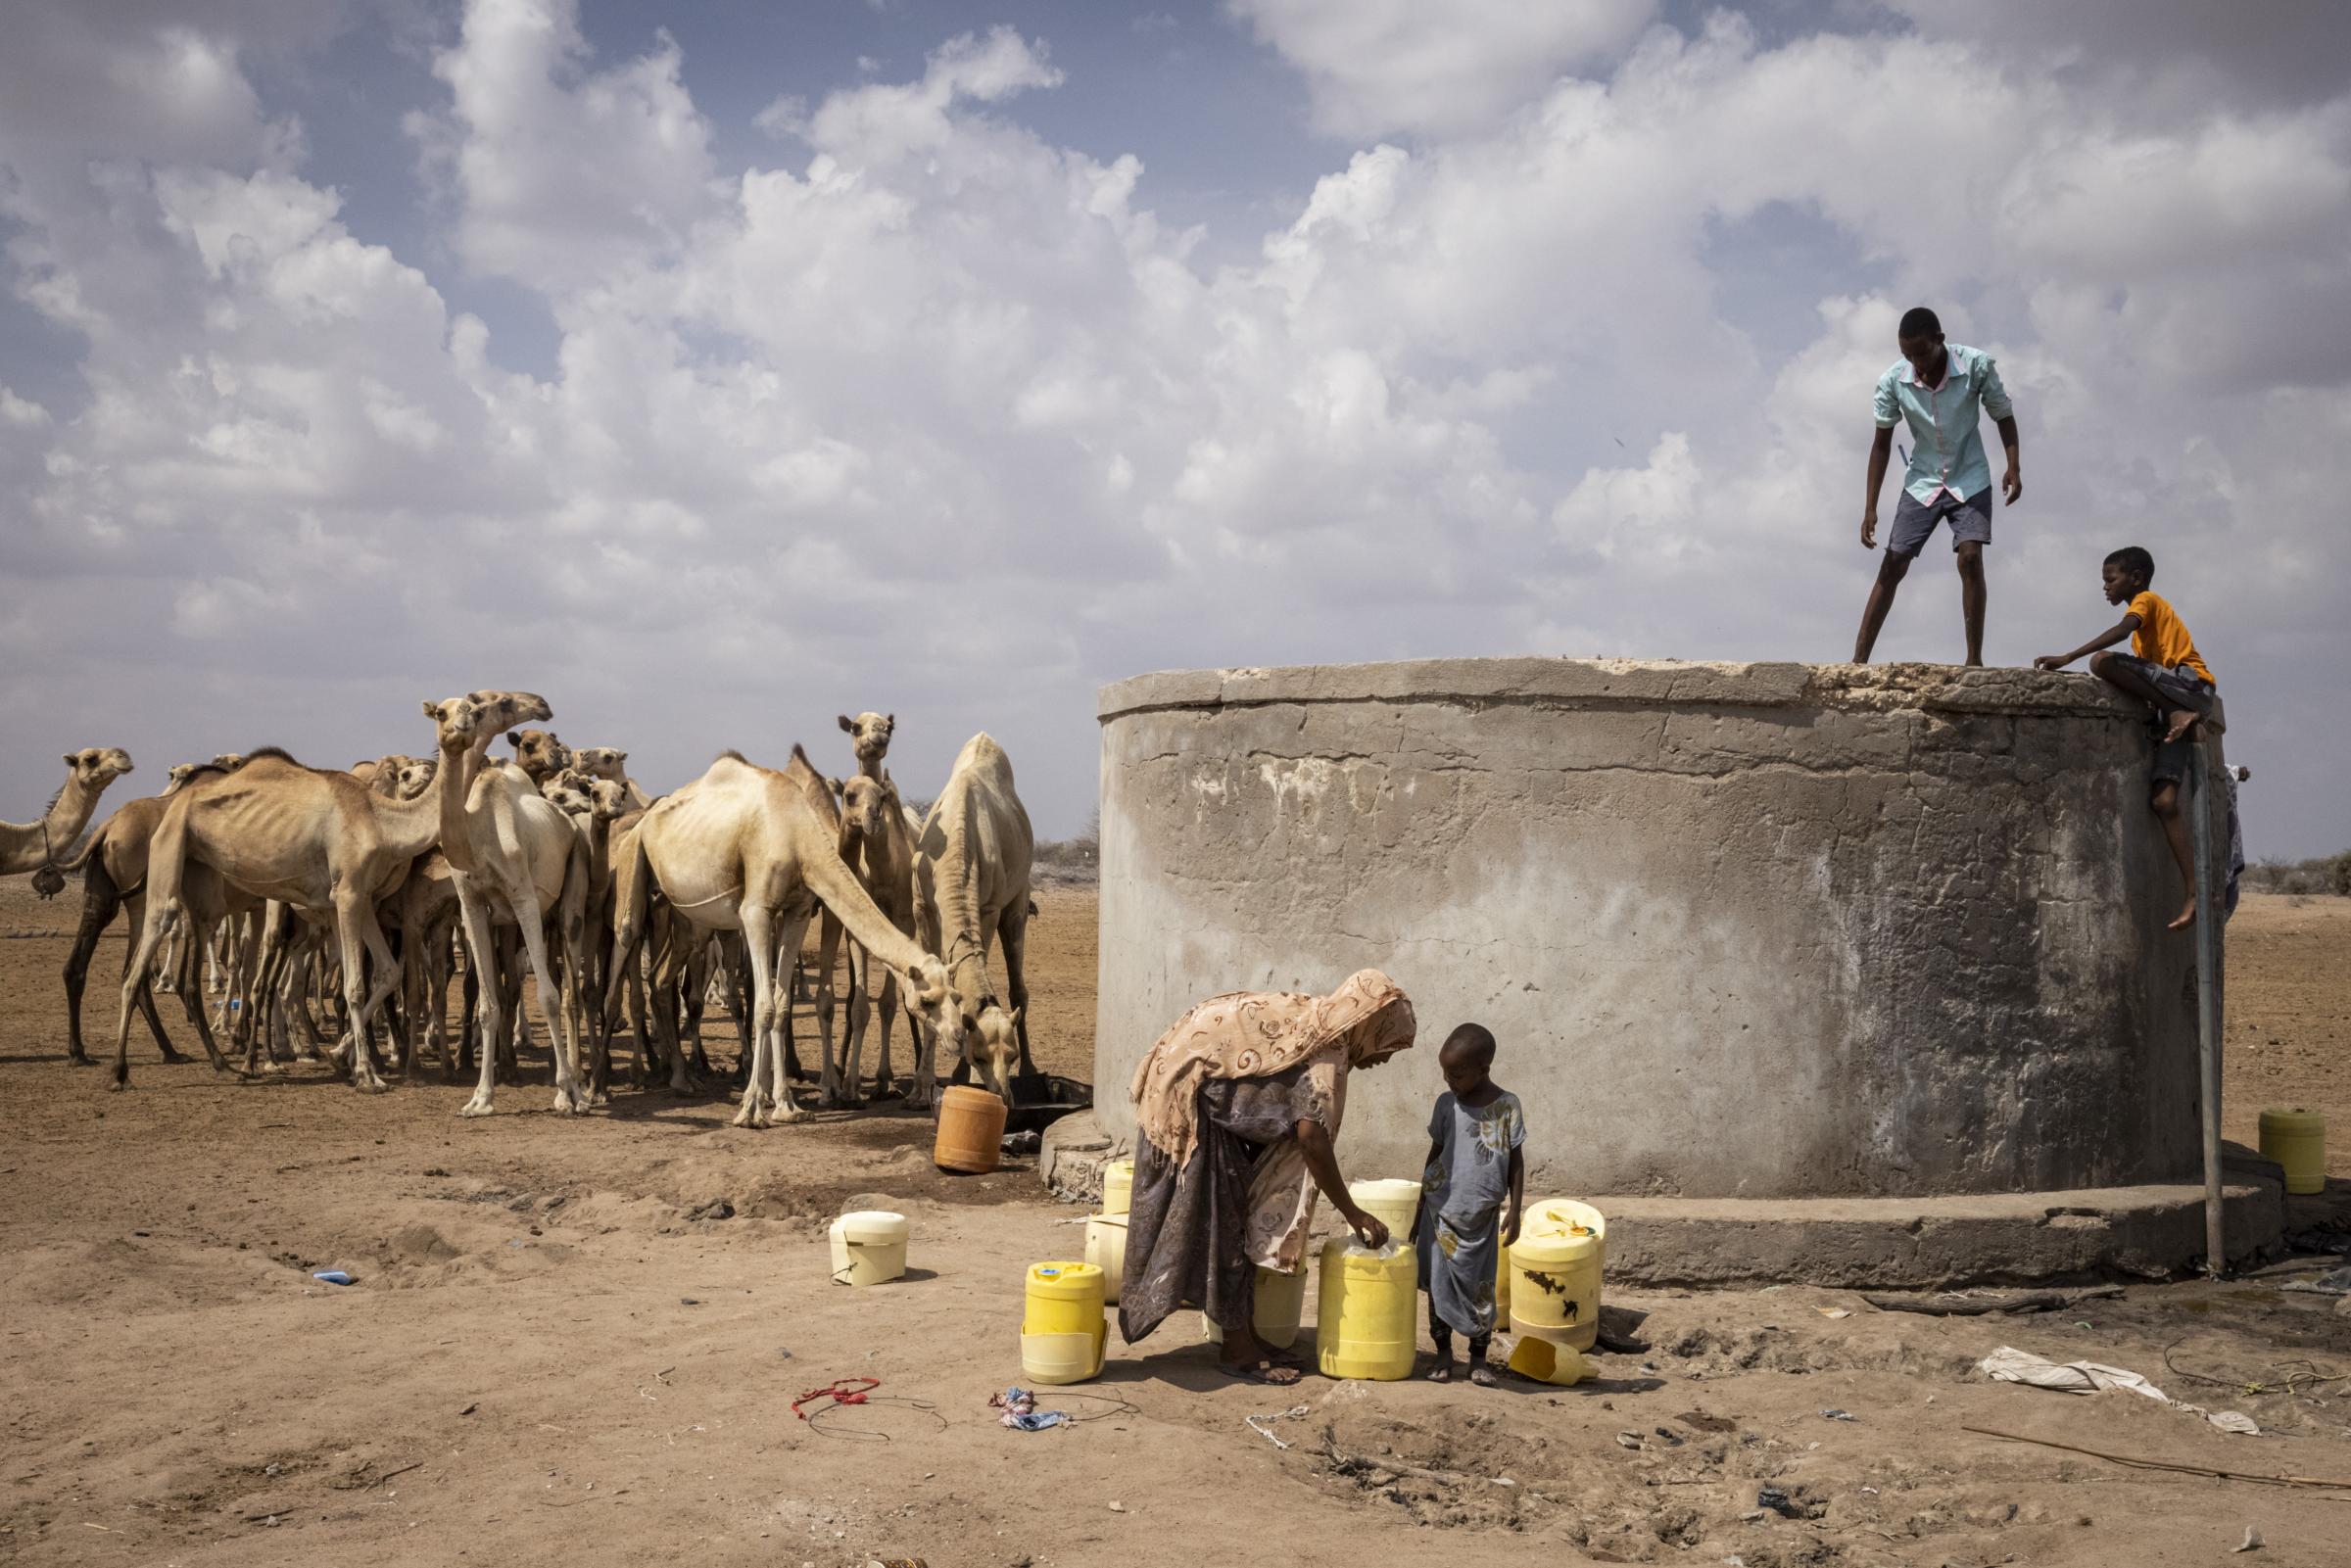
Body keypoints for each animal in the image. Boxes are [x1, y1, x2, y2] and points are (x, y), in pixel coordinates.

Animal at [115, 690, 550, 1100]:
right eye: (490, 704)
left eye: (474, 709)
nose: (541, 704)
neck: (386, 821)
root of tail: (175, 802)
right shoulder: (349, 893)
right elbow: (354, 985)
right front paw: (368, 1074)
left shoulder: (361, 897)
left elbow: (387, 973)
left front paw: (345, 1057)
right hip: (173, 844)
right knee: (149, 949)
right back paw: (126, 1070)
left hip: (203, 879)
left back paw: (226, 1064)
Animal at [615, 747, 973, 1128]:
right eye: (927, 1001)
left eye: (955, 995)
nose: (957, 1036)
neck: (799, 837)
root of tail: (645, 819)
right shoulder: (756, 911)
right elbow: (764, 1006)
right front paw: (751, 1109)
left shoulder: (798, 911)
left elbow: (783, 1004)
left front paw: (787, 1105)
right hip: (635, 868)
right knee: (624, 941)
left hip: (687, 920)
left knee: (660, 979)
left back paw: (682, 1079)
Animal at [907, 733, 1038, 1105]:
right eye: (978, 1055)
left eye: (1009, 1055)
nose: (1004, 1098)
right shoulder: (922, 907)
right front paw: (920, 1086)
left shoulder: (989, 908)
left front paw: (958, 1076)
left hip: (1017, 901)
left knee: (1018, 988)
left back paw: (1032, 1072)